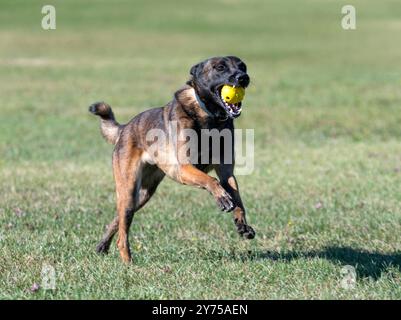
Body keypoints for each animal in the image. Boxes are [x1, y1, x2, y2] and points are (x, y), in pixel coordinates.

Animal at [89, 55, 255, 262]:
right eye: (220, 67)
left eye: (243, 66)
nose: (243, 78)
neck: (208, 117)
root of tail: (125, 128)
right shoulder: (184, 169)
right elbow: (211, 180)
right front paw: (222, 197)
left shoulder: (227, 172)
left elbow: (237, 198)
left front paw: (242, 223)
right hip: (128, 190)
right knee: (123, 233)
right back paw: (128, 262)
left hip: (141, 195)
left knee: (117, 220)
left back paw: (103, 246)